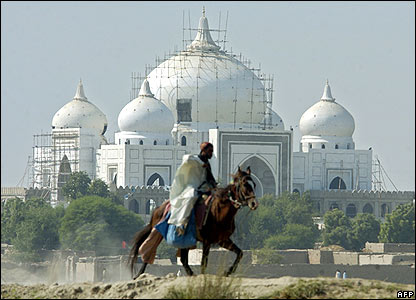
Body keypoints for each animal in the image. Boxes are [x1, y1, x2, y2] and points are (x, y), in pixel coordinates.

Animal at [127, 165, 256, 278]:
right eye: (245, 185)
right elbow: (204, 263)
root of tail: (158, 208)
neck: (219, 211)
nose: (254, 203)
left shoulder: (222, 239)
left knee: (183, 259)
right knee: (149, 248)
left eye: (253, 184)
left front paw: (227, 272)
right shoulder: (207, 240)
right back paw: (138, 275)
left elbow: (240, 253)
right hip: (158, 230)